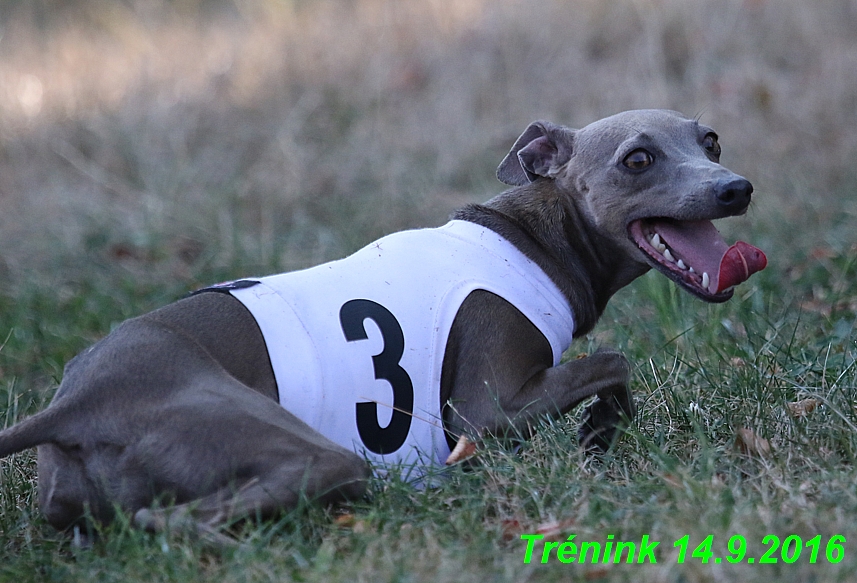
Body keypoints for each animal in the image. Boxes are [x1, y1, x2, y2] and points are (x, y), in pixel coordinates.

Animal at [0, 110, 764, 544]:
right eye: (637, 158)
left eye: (710, 140)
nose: (735, 187)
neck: (531, 236)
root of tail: (80, 402)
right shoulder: (483, 409)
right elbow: (612, 360)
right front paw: (600, 429)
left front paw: (599, 434)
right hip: (312, 452)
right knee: (179, 521)